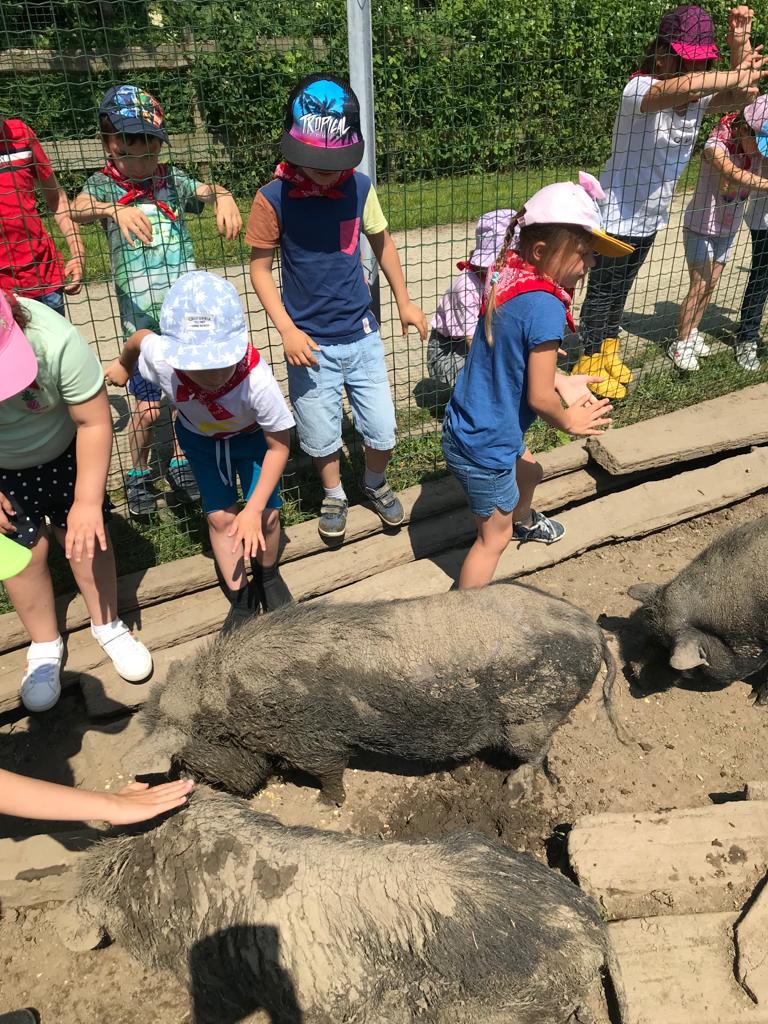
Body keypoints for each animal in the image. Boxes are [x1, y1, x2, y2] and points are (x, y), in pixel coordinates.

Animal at [130, 582, 624, 804]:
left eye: (185, 755)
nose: (200, 787)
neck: (236, 704)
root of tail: (592, 629)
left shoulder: (314, 740)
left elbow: (329, 771)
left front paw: (326, 802)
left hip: (531, 715)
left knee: (535, 753)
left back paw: (512, 790)